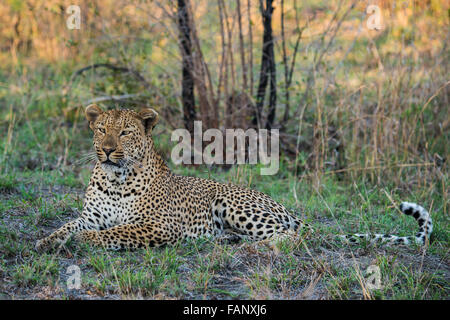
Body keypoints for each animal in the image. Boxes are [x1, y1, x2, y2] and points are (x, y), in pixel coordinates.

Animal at [35, 105, 432, 252]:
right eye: (102, 129)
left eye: (125, 133)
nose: (106, 150)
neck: (115, 178)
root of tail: (281, 205)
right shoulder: (91, 215)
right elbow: (69, 225)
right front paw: (46, 241)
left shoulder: (158, 225)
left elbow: (115, 232)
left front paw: (85, 241)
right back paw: (227, 240)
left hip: (234, 204)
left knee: (292, 237)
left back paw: (256, 245)